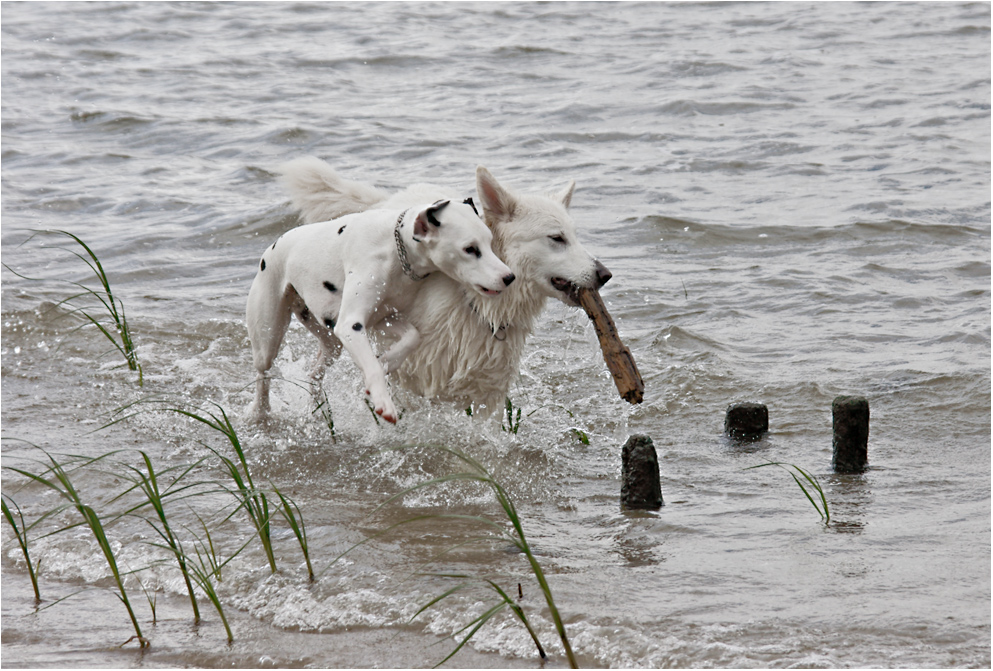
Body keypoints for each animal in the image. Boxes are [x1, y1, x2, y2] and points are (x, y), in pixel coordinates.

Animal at [245, 197, 516, 422]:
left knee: (314, 375)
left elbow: (411, 339)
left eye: (490, 243)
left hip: (331, 344)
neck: (395, 249)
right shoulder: (351, 325)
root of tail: (275, 244)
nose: (509, 277)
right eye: (470, 249)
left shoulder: (385, 317)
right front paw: (383, 400)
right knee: (262, 374)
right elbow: (373, 368)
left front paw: (385, 362)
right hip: (268, 338)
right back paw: (260, 412)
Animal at [276, 160, 608, 418]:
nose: (605, 274)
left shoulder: (490, 394)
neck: (477, 301)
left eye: (575, 236)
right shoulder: (414, 380)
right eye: (556, 238)